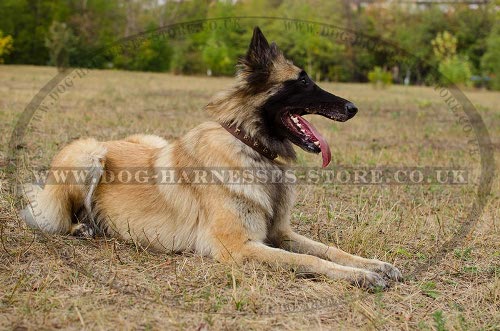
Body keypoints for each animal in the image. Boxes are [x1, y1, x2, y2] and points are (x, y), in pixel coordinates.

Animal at [23, 27, 402, 290]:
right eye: (303, 81)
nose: (353, 108)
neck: (251, 148)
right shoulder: (238, 247)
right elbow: (309, 259)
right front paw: (360, 277)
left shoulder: (280, 232)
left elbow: (327, 249)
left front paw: (374, 265)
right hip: (88, 154)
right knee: (55, 219)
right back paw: (84, 227)